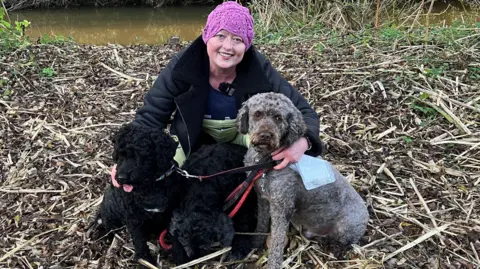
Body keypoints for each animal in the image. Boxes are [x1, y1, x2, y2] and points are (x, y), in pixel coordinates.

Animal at [92, 123, 188, 264]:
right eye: (120, 155)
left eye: (142, 155)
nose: (120, 178)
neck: (151, 188)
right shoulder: (134, 219)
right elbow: (139, 242)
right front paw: (145, 260)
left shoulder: (172, 211)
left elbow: (175, 235)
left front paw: (180, 257)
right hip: (111, 216)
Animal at [238, 92, 370, 268]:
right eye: (257, 114)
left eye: (278, 117)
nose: (265, 135)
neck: (266, 160)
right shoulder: (263, 198)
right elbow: (261, 223)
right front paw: (256, 242)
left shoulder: (282, 207)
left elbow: (277, 243)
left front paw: (273, 264)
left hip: (347, 226)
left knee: (346, 243)